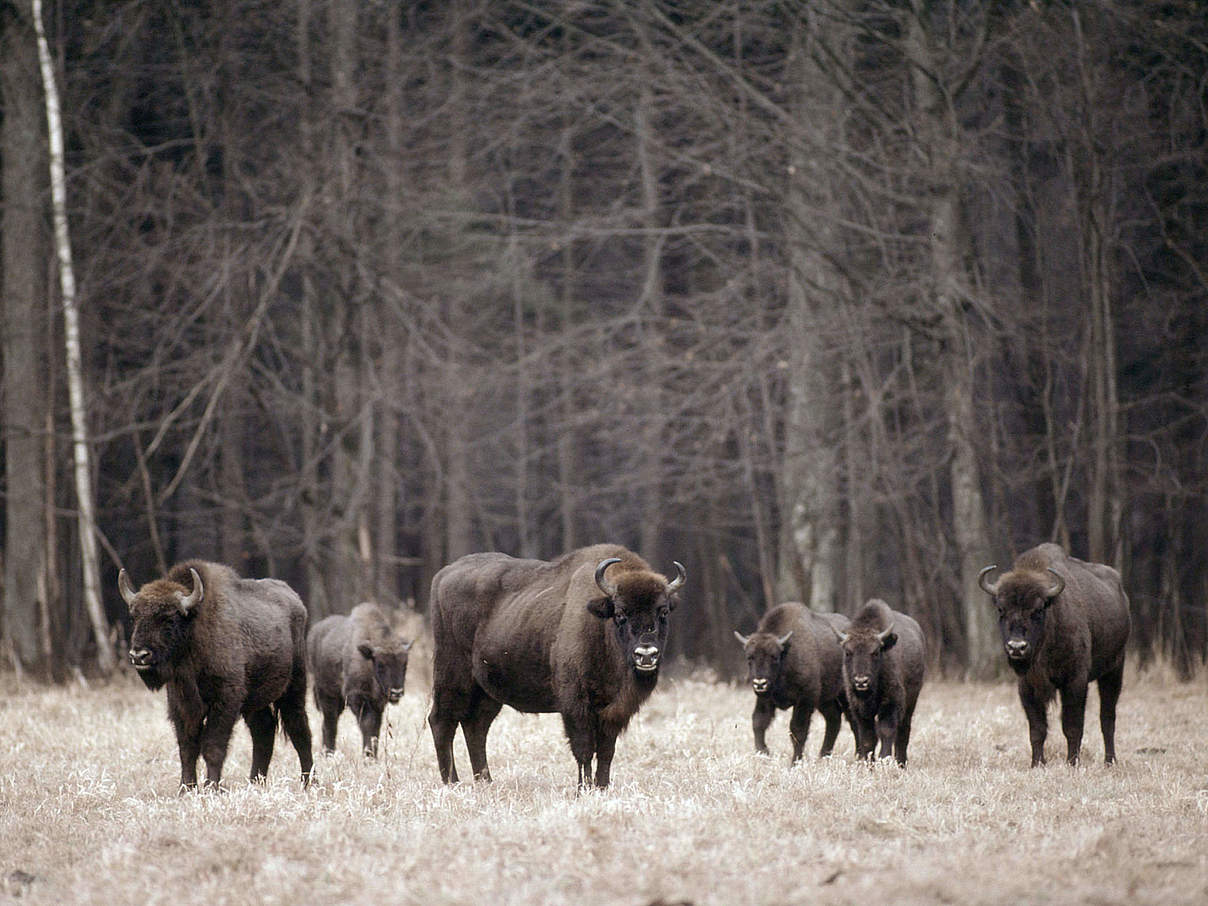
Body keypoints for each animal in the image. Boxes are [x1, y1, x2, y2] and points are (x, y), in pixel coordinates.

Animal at [118, 565, 311, 792]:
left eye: (169, 619)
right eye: (134, 617)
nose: (139, 655)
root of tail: (297, 601)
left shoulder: (225, 702)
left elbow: (213, 747)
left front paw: (211, 788)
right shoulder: (181, 706)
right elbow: (187, 748)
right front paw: (186, 789)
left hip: (293, 688)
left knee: (299, 731)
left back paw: (309, 782)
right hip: (255, 703)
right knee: (264, 732)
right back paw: (255, 783)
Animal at [304, 604, 413, 758]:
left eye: (405, 665)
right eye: (380, 664)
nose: (396, 692)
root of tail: (314, 633)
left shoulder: (378, 705)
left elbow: (375, 730)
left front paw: (372, 756)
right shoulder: (357, 698)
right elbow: (367, 725)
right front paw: (368, 756)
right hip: (326, 693)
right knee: (330, 724)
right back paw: (328, 753)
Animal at [729, 604, 855, 768]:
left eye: (774, 657)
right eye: (750, 657)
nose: (760, 683)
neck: (786, 654)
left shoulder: (805, 699)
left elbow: (797, 729)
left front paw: (795, 762)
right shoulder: (766, 699)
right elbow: (759, 722)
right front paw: (763, 754)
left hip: (844, 695)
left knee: (853, 721)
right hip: (825, 700)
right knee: (834, 719)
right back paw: (823, 756)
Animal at [835, 604, 927, 768]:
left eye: (875, 652)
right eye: (848, 652)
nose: (861, 681)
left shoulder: (891, 704)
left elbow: (886, 731)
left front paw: (884, 760)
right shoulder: (860, 710)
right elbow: (868, 738)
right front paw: (868, 764)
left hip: (911, 702)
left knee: (903, 731)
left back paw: (901, 763)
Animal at [976, 543, 1125, 768]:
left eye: (1037, 610)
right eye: (1001, 609)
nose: (1017, 647)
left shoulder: (1075, 682)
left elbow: (1072, 726)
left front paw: (1072, 763)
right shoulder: (1026, 686)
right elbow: (1037, 729)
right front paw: (1037, 763)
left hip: (1114, 671)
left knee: (1107, 718)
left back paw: (1110, 761)